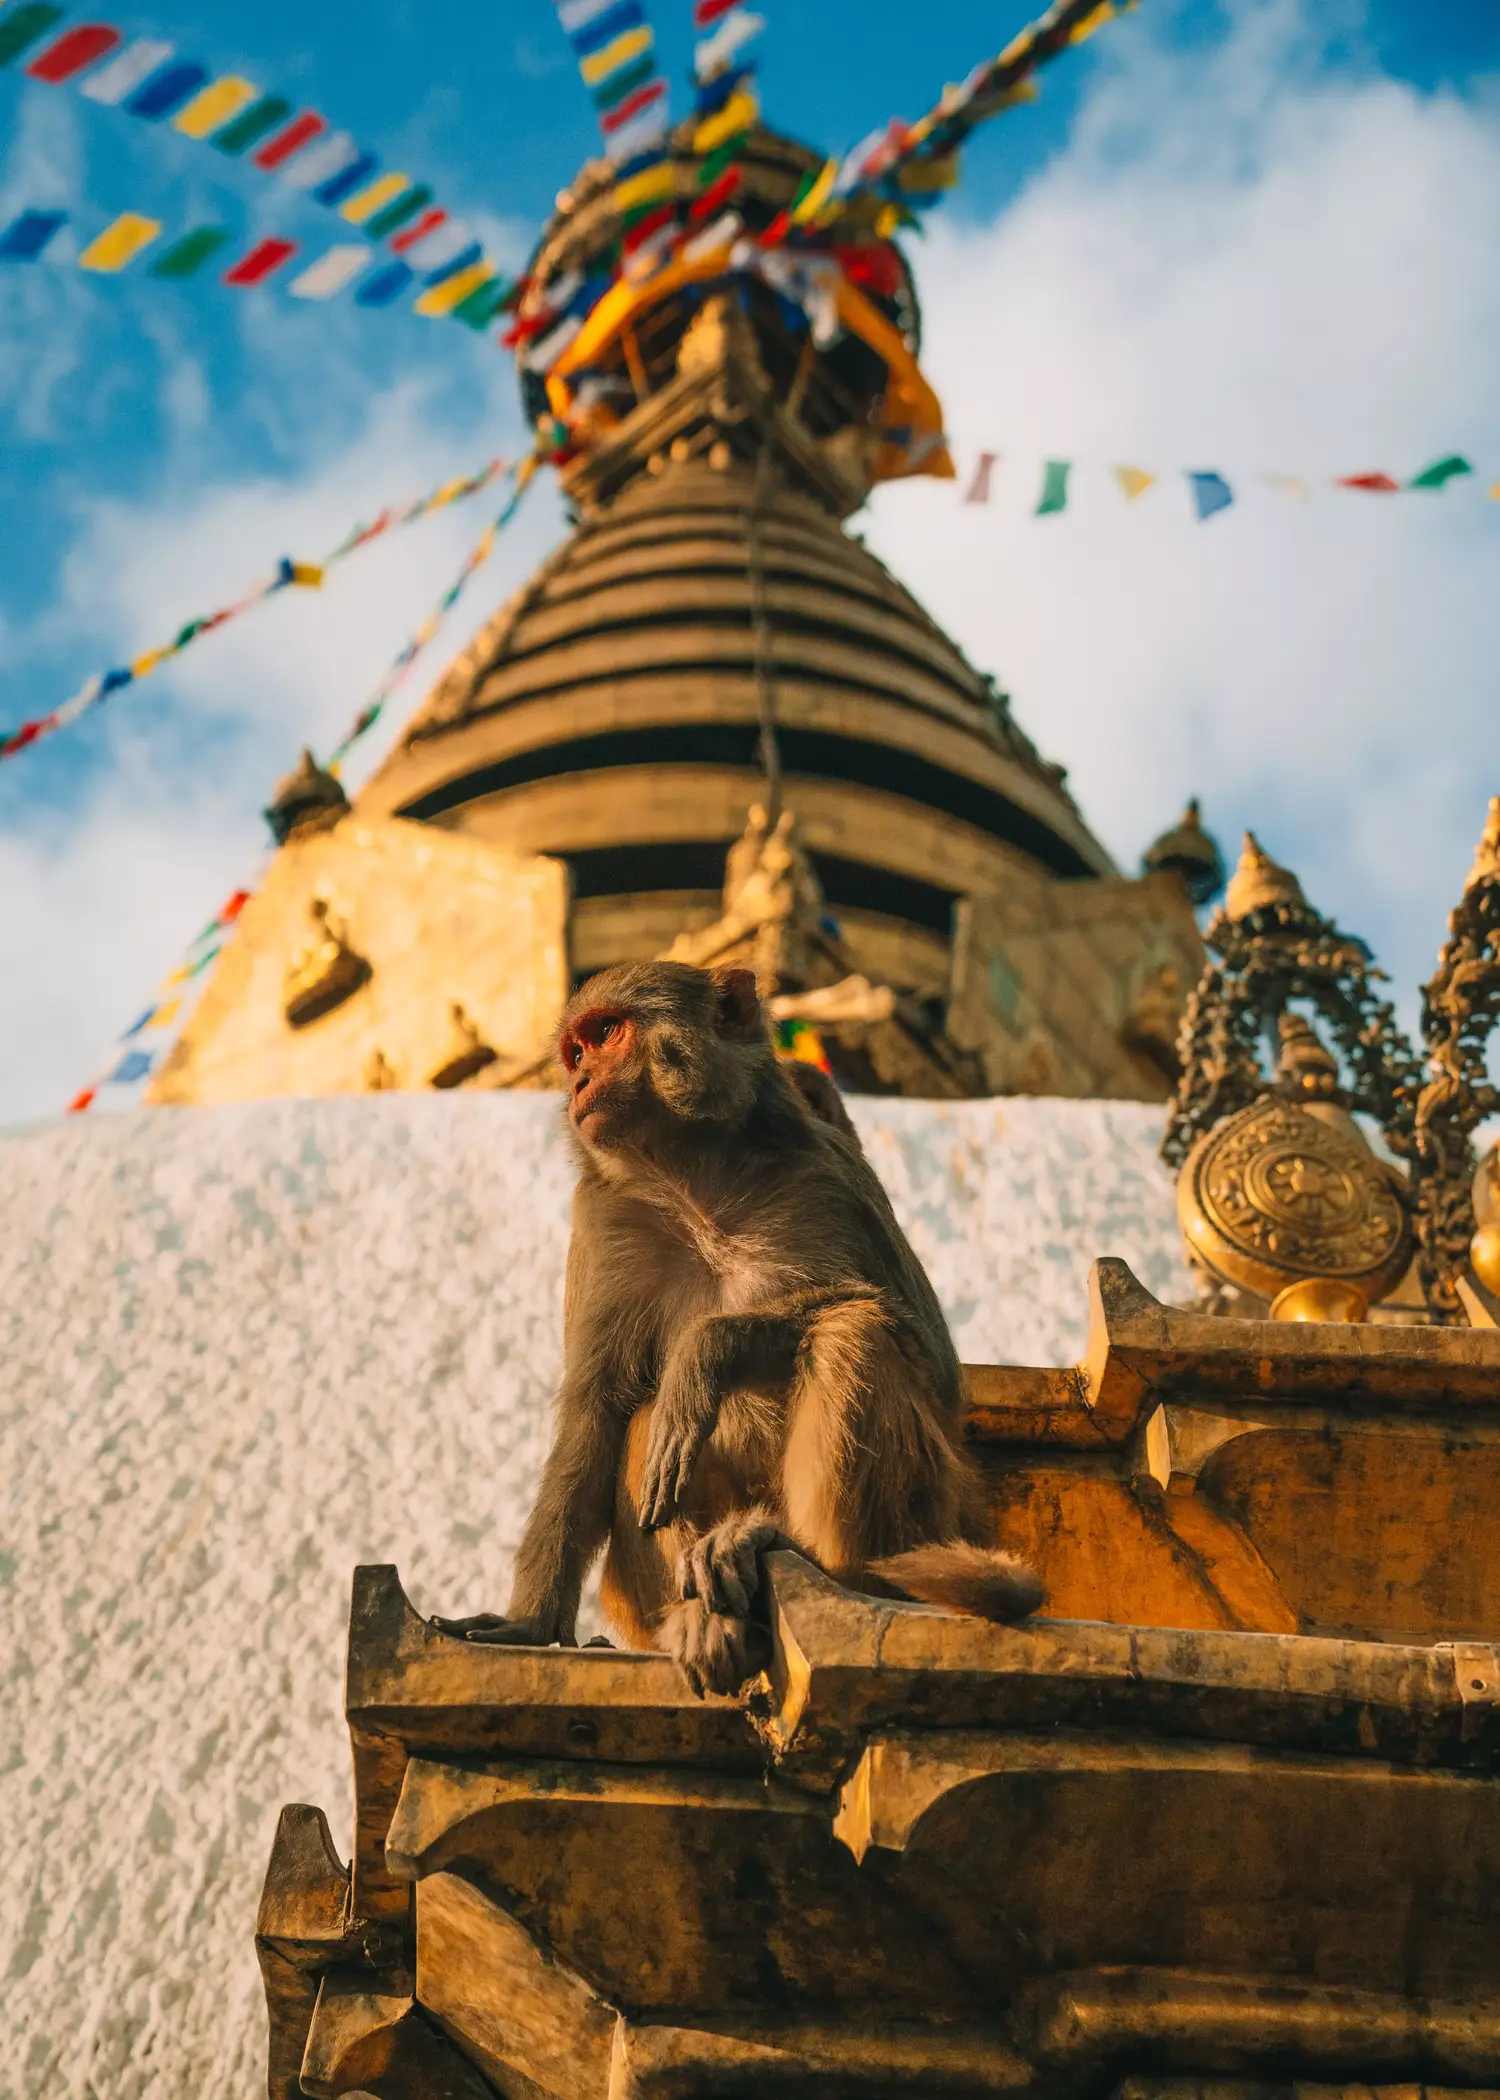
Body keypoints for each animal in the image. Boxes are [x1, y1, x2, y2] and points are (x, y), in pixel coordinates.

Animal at [433, 961, 1042, 1695]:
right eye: (574, 1053)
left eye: (606, 1034)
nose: (577, 1084)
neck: (698, 1182)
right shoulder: (603, 1222)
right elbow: (597, 1409)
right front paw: (528, 1625)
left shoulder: (829, 1171)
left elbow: (932, 1359)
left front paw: (709, 1348)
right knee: (646, 1424)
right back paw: (707, 1615)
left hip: (936, 1519)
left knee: (853, 1332)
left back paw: (801, 1556)